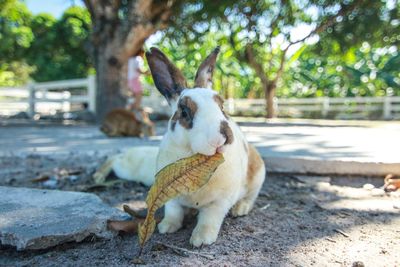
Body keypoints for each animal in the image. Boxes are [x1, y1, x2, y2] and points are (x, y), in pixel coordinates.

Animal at [145, 47, 266, 248]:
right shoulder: (171, 195)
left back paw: (240, 208)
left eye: (222, 107)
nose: (223, 137)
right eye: (184, 112)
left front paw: (201, 239)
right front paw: (166, 227)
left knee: (251, 197)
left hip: (257, 178)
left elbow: (210, 218)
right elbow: (173, 211)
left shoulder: (220, 201)